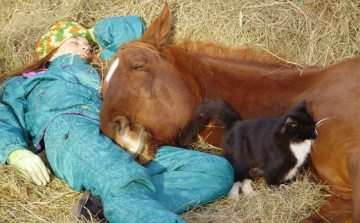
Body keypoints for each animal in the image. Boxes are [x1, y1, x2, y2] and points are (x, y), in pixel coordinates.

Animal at [179, 99, 316, 195]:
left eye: (314, 125)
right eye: (309, 128)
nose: (316, 133)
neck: (296, 143)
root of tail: (234, 123)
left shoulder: (294, 167)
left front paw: (286, 185)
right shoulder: (274, 165)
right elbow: (271, 179)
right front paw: (275, 188)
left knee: (245, 178)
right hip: (239, 159)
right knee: (234, 176)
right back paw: (234, 195)